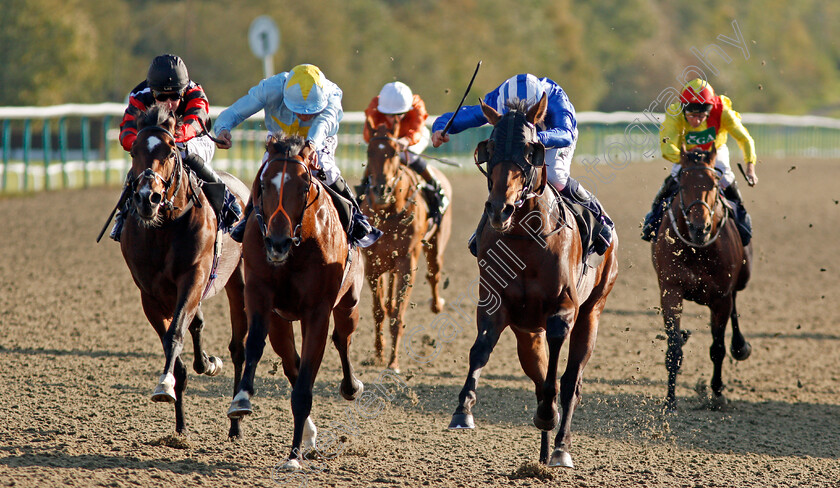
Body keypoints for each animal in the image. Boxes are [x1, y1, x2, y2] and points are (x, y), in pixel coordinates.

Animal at [120, 105, 249, 436]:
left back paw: (236, 420)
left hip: (240, 282)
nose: (146, 197)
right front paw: (179, 424)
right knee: (199, 324)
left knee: (239, 348)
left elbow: (175, 334)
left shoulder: (193, 278)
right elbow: (173, 347)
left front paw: (166, 385)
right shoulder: (150, 294)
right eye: (134, 151)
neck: (164, 227)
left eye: (169, 151)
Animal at [226, 132, 364, 470]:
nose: (277, 243)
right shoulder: (260, 295)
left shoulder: (317, 312)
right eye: (264, 185)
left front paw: (293, 456)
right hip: (281, 320)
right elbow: (255, 345)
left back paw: (351, 387)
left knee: (342, 339)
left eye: (304, 186)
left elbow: (304, 386)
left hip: (349, 303)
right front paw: (241, 399)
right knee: (291, 361)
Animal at [360, 117, 452, 370]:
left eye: (394, 151)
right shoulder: (372, 263)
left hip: (435, 244)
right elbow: (379, 311)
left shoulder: (406, 262)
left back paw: (437, 303)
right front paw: (379, 355)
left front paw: (393, 362)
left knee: (434, 274)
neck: (390, 211)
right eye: (369, 151)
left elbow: (398, 315)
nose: (380, 190)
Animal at [450, 96, 620, 468]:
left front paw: (548, 416)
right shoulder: (495, 303)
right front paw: (463, 410)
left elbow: (558, 371)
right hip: (527, 333)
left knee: (571, 381)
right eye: (489, 147)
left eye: (531, 150)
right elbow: (480, 348)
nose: (499, 209)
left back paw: (559, 448)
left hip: (593, 311)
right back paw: (543, 448)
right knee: (540, 377)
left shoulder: (564, 309)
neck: (524, 238)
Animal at [648, 146, 756, 412]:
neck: (697, 249)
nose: (700, 227)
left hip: (742, 278)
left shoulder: (720, 297)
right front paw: (670, 400)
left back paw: (741, 347)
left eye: (715, 182)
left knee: (735, 304)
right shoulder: (671, 290)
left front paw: (717, 393)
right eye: (681, 183)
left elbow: (717, 348)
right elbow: (674, 348)